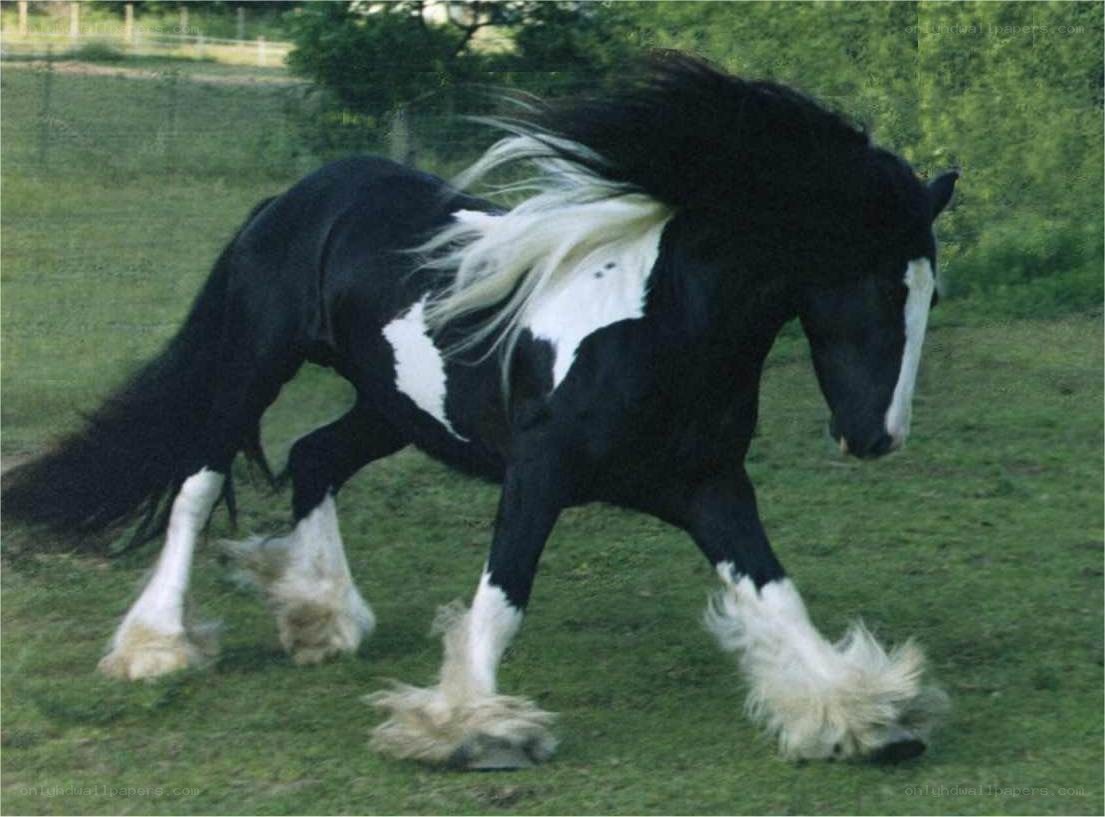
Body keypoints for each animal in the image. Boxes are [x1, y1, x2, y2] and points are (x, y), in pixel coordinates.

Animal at [3, 54, 958, 769]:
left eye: (930, 292)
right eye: (882, 286)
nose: (877, 437)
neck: (658, 326)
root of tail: (293, 198)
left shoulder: (711, 488)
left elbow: (775, 591)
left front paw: (858, 712)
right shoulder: (537, 474)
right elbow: (501, 597)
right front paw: (469, 726)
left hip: (390, 406)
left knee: (313, 456)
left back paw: (320, 616)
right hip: (254, 365)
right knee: (199, 485)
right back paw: (156, 644)